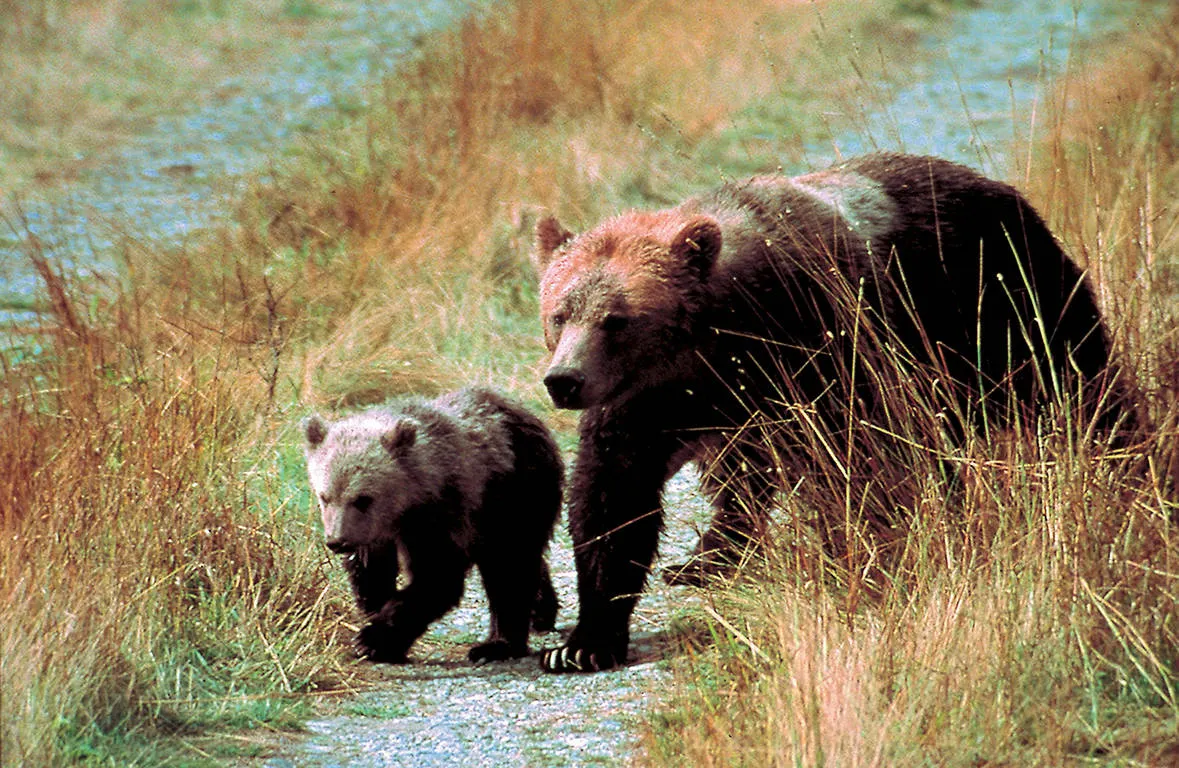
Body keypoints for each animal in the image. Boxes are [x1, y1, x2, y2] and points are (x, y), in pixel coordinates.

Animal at [302, 387, 562, 665]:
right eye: (324, 497)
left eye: (363, 498)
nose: (337, 541)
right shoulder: (375, 534)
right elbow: (371, 572)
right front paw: (376, 611)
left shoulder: (440, 515)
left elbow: (437, 577)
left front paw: (373, 640)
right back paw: (542, 611)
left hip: (515, 493)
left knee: (509, 566)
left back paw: (497, 644)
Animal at [530, 152, 1136, 673]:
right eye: (560, 312)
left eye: (616, 319)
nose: (565, 381)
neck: (722, 334)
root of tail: (1003, 189)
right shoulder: (650, 401)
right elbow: (613, 498)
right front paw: (584, 641)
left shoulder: (823, 344)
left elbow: (858, 466)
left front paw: (865, 566)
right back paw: (703, 560)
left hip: (1003, 302)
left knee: (1084, 389)